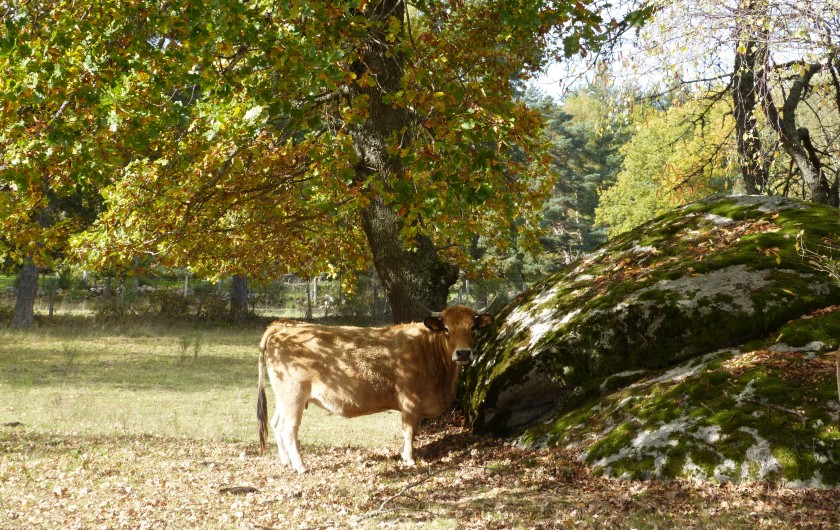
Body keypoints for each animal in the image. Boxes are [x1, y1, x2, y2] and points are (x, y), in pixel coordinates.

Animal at [256, 305, 494, 473]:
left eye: (473, 328)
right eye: (446, 329)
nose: (463, 353)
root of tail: (286, 327)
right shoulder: (410, 403)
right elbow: (409, 431)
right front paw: (409, 459)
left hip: (284, 398)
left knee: (276, 424)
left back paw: (286, 462)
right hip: (293, 396)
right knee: (289, 429)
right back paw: (300, 466)